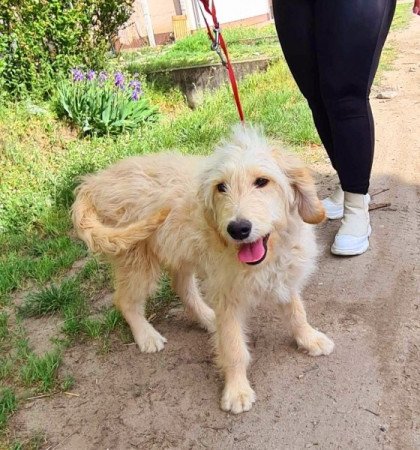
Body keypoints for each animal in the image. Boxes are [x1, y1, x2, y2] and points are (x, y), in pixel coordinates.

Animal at [72, 125, 334, 414]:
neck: (270, 253)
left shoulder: (283, 276)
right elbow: (233, 346)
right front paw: (237, 390)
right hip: (137, 259)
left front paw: (309, 338)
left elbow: (297, 312)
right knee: (125, 300)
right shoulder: (227, 295)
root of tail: (95, 181)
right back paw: (146, 335)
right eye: (221, 187)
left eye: (262, 181)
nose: (238, 229)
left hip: (179, 251)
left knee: (181, 287)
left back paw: (207, 317)